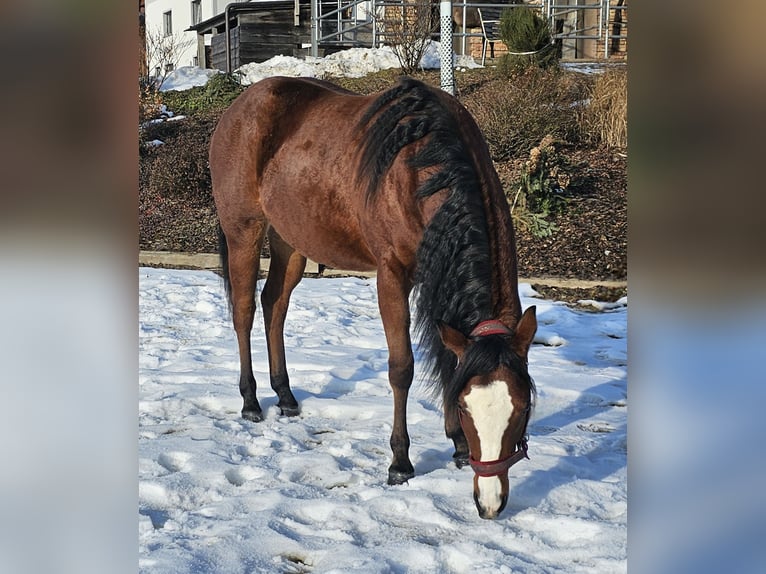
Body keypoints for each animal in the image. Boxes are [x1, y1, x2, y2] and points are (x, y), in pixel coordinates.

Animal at [209, 76, 537, 519]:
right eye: (468, 408)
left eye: (522, 408)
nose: (490, 502)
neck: (424, 166)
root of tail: (238, 107)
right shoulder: (393, 275)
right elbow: (402, 369)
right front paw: (400, 462)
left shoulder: (437, 277)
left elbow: (450, 358)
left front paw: (456, 445)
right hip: (244, 230)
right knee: (243, 311)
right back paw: (250, 401)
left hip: (291, 241)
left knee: (274, 303)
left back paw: (285, 395)